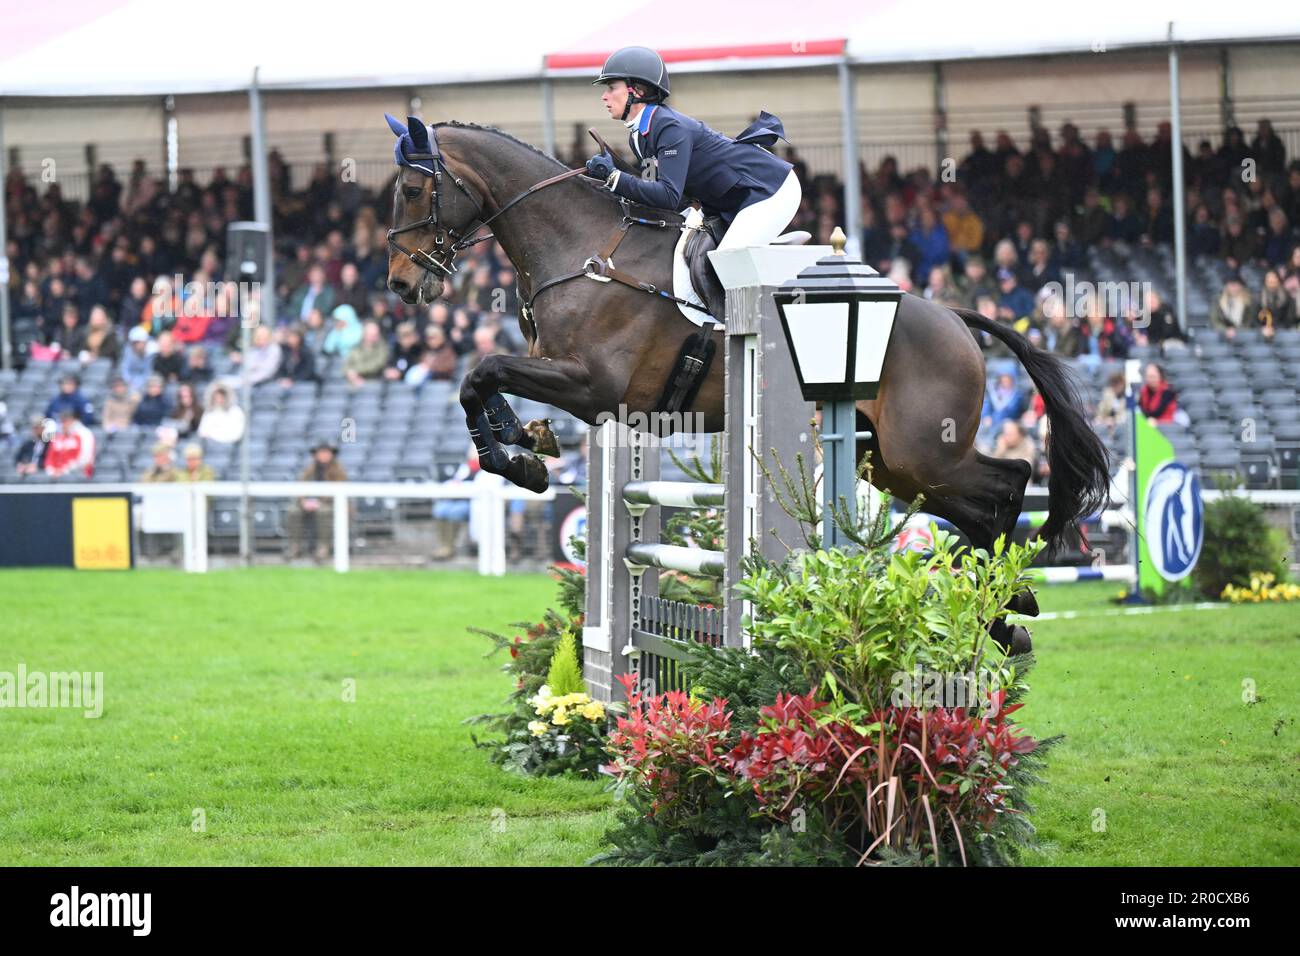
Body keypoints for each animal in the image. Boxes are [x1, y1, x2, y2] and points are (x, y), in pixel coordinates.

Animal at [379, 119, 1112, 642]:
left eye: (413, 191)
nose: (400, 284)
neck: (583, 252)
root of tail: (954, 317)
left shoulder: (592, 386)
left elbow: (480, 371)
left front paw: (519, 457)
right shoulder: (587, 394)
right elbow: (482, 381)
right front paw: (526, 442)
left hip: (921, 450)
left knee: (1008, 482)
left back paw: (1007, 602)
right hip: (887, 459)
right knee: (983, 500)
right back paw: (1007, 609)